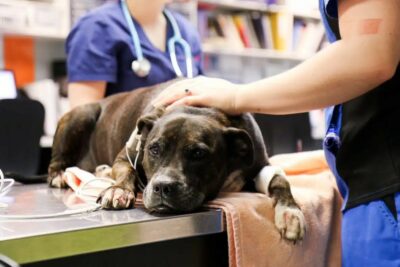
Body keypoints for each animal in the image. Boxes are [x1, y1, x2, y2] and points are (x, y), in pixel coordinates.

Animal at [49, 80, 306, 243]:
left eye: (199, 154)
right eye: (153, 149)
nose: (163, 187)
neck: (198, 108)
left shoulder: (262, 164)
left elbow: (280, 181)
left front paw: (290, 213)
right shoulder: (124, 157)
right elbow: (126, 172)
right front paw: (118, 190)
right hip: (82, 114)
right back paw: (62, 175)